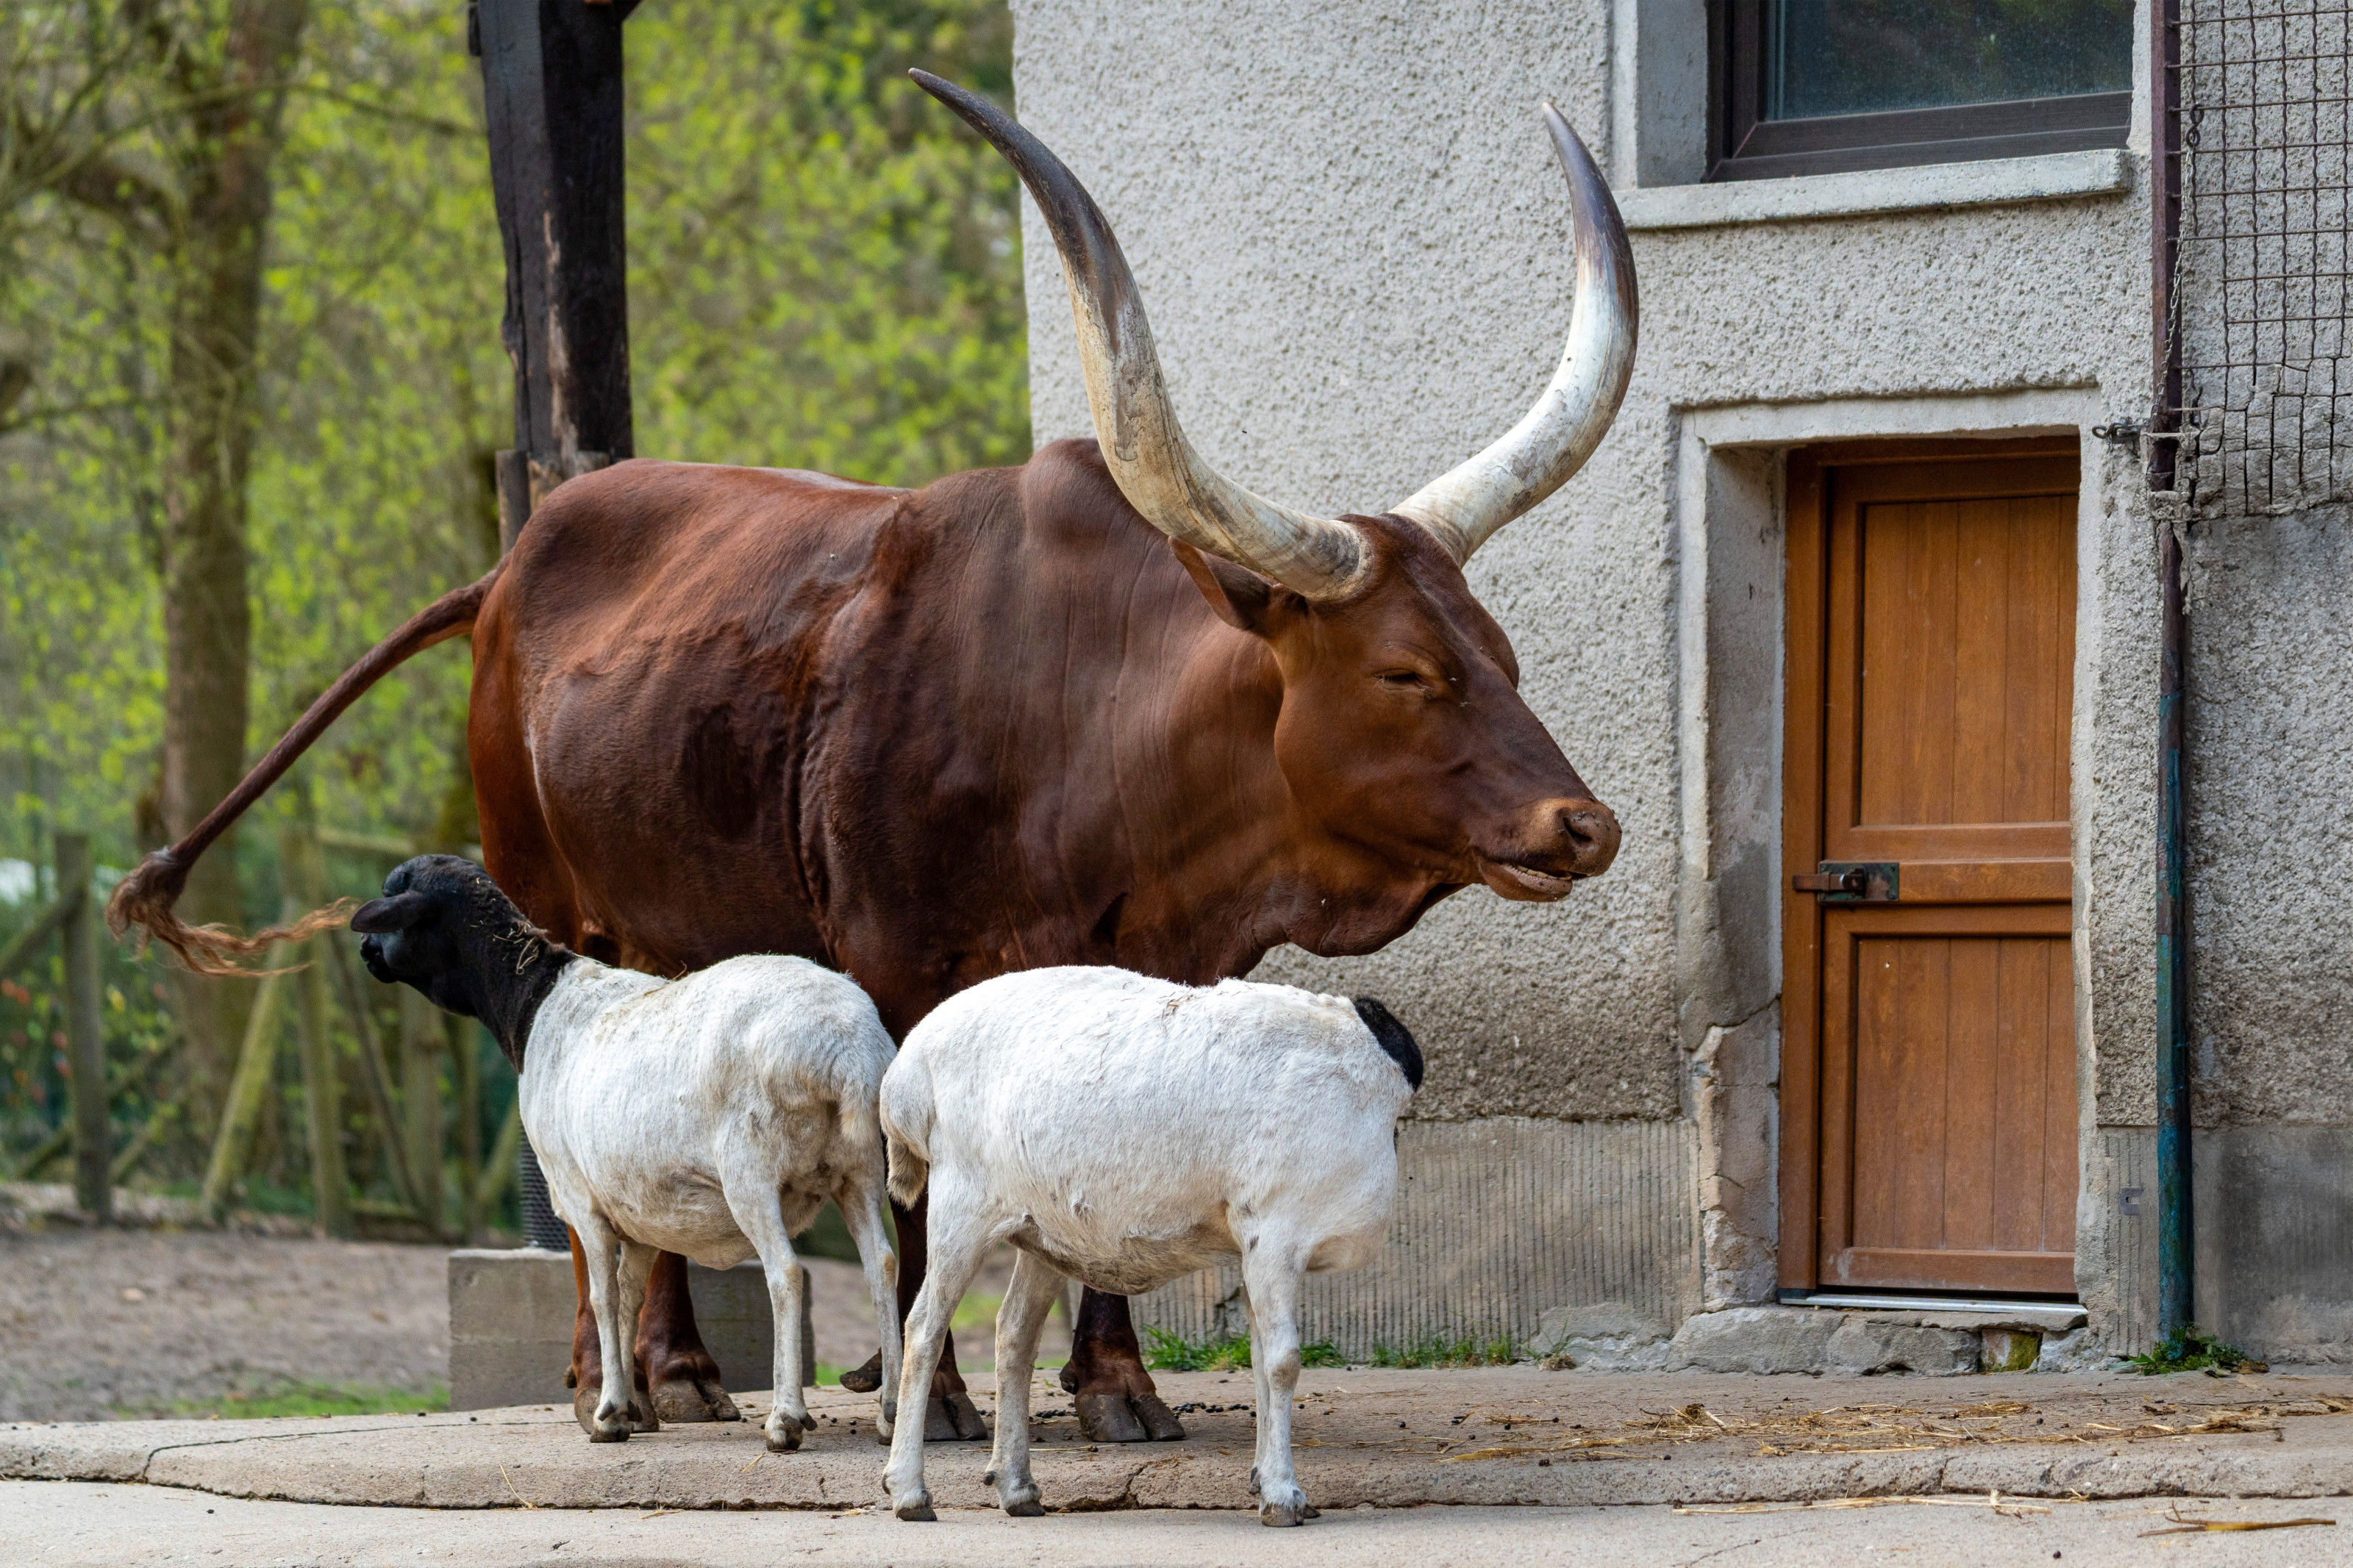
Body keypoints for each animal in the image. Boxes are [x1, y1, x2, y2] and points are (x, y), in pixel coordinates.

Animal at [107, 71, 1636, 1446]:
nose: (1584, 824)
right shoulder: (900, 970)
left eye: (1505, 652)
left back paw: (698, 1371)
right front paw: (935, 1396)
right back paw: (634, 1373)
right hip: (564, 908)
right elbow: (908, 1204)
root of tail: (511, 563)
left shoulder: (1137, 979)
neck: (1085, 735)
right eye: (1406, 671)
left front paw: (1118, 1390)